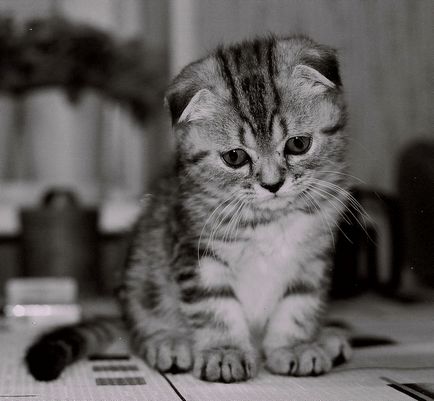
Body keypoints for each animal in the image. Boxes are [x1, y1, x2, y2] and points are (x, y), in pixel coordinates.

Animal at [25, 35, 352, 382]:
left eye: (298, 144)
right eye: (234, 157)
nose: (273, 184)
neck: (269, 220)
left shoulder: (313, 256)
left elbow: (299, 304)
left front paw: (294, 347)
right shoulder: (197, 252)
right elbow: (216, 307)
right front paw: (224, 352)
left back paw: (328, 338)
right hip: (141, 278)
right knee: (144, 326)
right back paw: (168, 342)